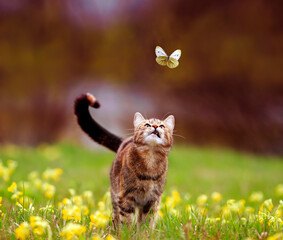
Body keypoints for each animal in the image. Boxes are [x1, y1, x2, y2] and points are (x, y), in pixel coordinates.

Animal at [74, 92, 174, 229]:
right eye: (147, 125)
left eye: (162, 126)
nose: (155, 126)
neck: (150, 161)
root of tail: (125, 140)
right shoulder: (125, 196)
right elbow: (127, 220)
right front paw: (127, 232)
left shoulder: (152, 200)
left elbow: (147, 222)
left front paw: (144, 233)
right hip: (115, 194)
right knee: (116, 216)